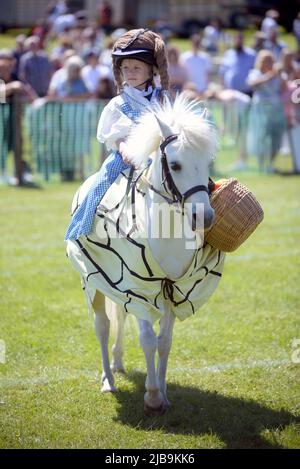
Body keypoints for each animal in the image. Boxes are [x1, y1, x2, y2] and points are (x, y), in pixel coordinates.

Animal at [66, 95, 225, 414]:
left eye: (207, 162)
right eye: (174, 164)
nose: (205, 217)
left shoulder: (173, 289)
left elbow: (164, 342)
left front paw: (163, 393)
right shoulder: (139, 288)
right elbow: (148, 339)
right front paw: (151, 396)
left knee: (118, 319)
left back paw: (118, 363)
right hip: (92, 282)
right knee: (102, 326)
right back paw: (108, 379)